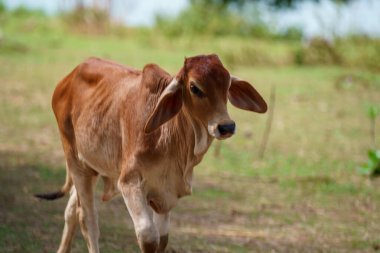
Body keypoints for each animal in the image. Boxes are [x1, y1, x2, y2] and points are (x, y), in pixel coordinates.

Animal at [36, 53, 268, 253]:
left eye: (227, 85)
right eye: (195, 87)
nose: (226, 126)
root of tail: (68, 78)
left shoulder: (166, 193)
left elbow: (163, 239)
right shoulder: (130, 183)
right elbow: (148, 237)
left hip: (92, 167)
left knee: (71, 212)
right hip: (75, 161)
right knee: (87, 220)